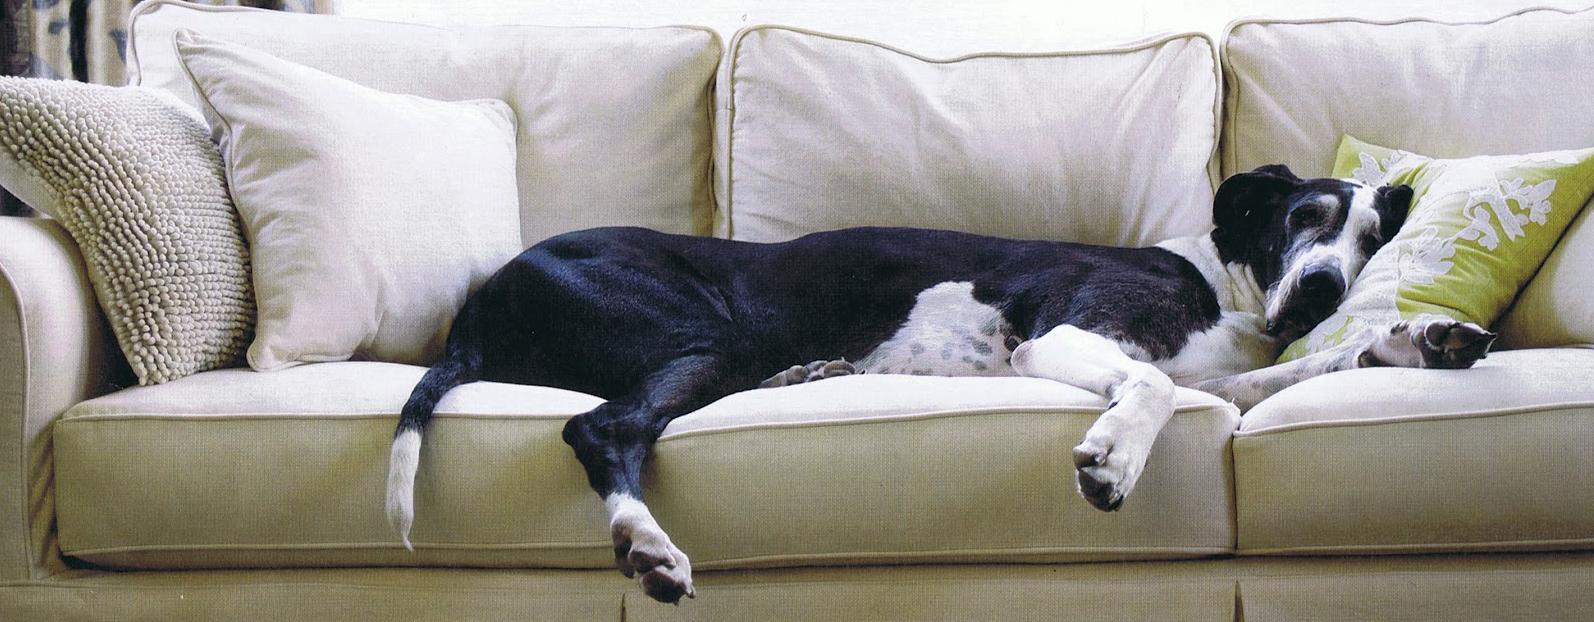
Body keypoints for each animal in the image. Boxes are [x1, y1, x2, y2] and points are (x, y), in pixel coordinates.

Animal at [382, 165, 1491, 602]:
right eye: (1305, 217)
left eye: (1373, 237)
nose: (1323, 287)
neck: (1225, 286)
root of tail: (478, 305)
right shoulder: (1063, 336)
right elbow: (1154, 388)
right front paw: (1113, 458)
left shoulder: (1239, 384)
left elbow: (1300, 369)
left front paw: (1422, 340)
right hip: (707, 329)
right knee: (600, 430)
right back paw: (645, 544)